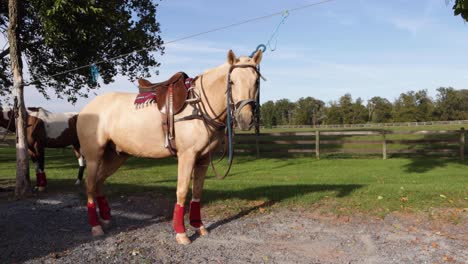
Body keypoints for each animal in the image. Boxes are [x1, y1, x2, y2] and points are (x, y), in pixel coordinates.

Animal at [76, 49, 260, 243]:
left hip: (116, 156)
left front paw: (199, 226)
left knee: (99, 182)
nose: (245, 119)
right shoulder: (187, 155)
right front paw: (181, 233)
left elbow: (197, 192)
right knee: (90, 185)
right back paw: (96, 226)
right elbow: (182, 191)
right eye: (231, 82)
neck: (198, 106)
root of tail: (84, 110)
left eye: (256, 81)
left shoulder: (202, 159)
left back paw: (106, 219)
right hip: (93, 156)